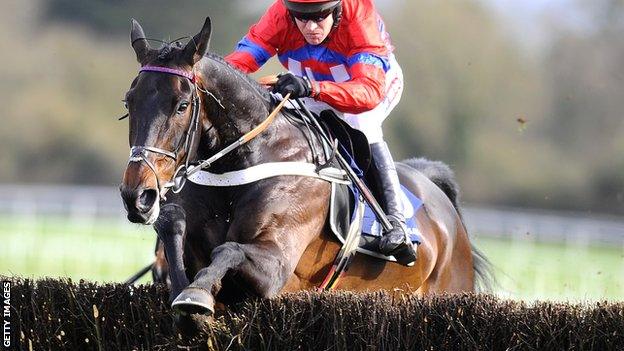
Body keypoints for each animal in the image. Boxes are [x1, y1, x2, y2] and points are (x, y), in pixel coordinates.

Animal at [120, 17, 492, 320]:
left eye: (182, 105)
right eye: (129, 102)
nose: (137, 195)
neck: (243, 162)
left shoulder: (278, 268)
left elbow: (227, 249)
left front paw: (197, 294)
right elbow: (173, 229)